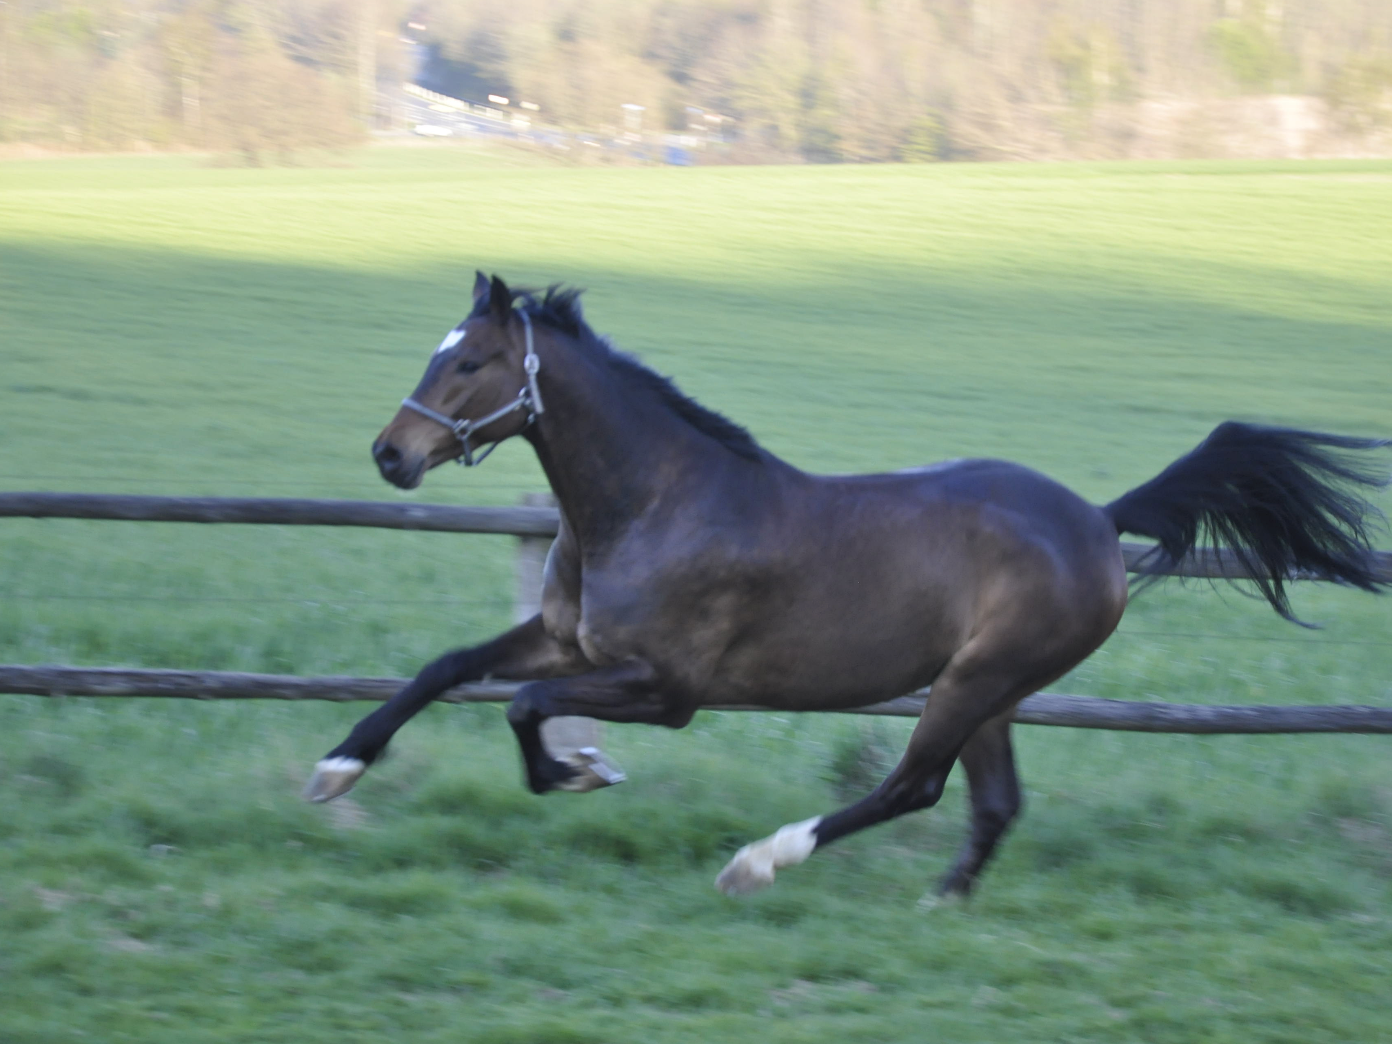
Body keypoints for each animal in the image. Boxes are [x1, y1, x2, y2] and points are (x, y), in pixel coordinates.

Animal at [304, 273, 1388, 898]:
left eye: (474, 362)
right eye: (439, 353)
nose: (391, 455)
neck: (654, 502)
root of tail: (1096, 519)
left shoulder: (668, 688)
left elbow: (524, 704)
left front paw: (580, 772)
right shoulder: (571, 640)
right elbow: (449, 669)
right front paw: (337, 769)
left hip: (975, 682)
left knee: (916, 784)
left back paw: (760, 861)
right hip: (991, 689)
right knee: (992, 802)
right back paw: (943, 898)